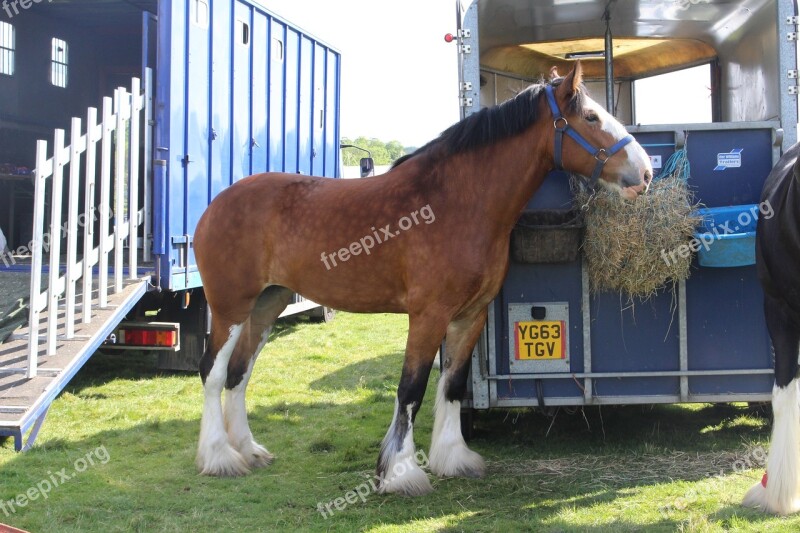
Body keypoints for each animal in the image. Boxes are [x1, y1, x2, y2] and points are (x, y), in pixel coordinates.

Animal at [197, 63, 652, 494]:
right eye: (591, 117)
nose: (645, 172)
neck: (456, 202)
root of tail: (216, 204)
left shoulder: (470, 316)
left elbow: (451, 385)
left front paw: (453, 459)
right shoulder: (428, 315)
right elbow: (411, 390)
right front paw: (401, 474)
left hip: (266, 305)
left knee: (239, 374)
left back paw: (249, 451)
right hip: (230, 308)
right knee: (213, 372)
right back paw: (219, 458)